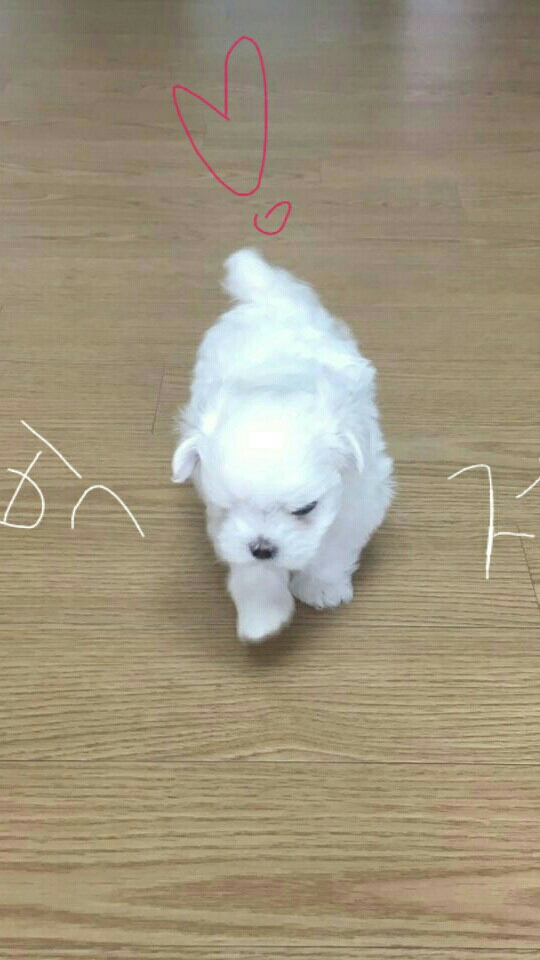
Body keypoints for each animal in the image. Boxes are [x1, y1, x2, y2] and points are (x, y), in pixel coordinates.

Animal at [172, 249, 394, 643]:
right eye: (227, 506)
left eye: (305, 509)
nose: (263, 548)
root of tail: (270, 299)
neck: (278, 382)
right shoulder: (230, 529)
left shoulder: (359, 495)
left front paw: (320, 585)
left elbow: (333, 542)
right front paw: (263, 614)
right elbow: (250, 566)